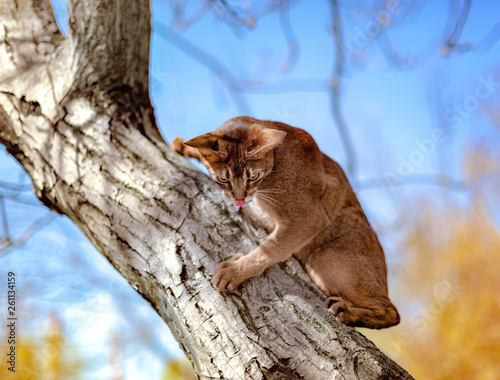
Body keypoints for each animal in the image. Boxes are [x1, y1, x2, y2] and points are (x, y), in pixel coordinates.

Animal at [170, 116, 400, 330]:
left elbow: (270, 249)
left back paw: (348, 312)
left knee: (393, 312)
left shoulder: (310, 218)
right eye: (223, 179)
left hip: (325, 255)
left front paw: (233, 271)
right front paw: (182, 145)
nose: (240, 198)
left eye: (252, 177)